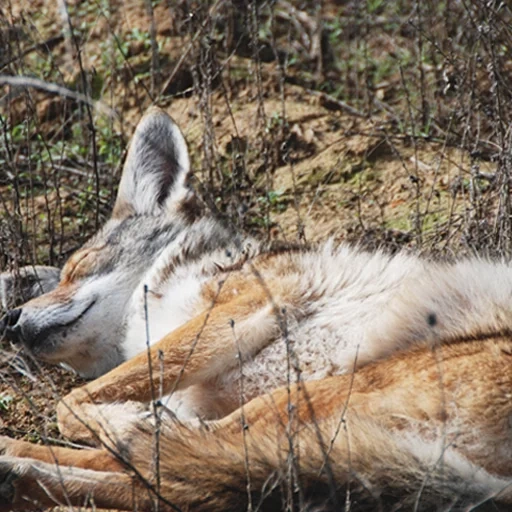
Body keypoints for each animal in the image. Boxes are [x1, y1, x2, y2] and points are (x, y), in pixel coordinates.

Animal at [1, 108, 512, 508]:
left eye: (77, 268)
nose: (11, 321)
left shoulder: (249, 305)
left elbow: (72, 404)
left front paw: (122, 419)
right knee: (174, 479)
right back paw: (19, 470)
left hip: (291, 403)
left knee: (167, 473)